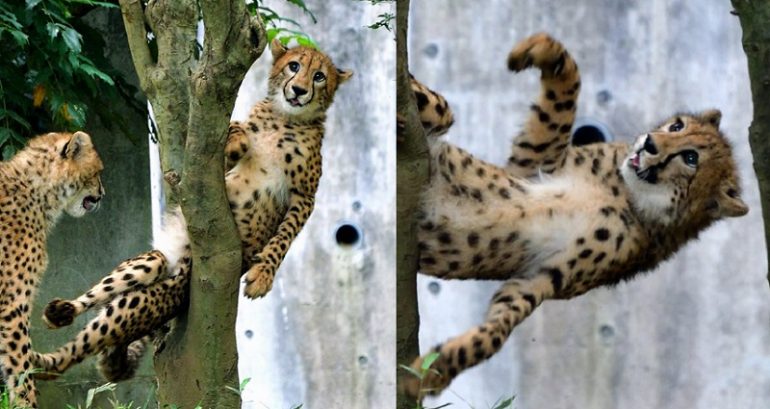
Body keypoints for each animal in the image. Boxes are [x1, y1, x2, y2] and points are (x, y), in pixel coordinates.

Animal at [29, 39, 352, 382]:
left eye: (319, 76)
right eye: (293, 66)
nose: (300, 90)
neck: (284, 117)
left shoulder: (304, 197)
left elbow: (284, 238)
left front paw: (262, 276)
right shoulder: (210, 179)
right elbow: (226, 148)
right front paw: (236, 136)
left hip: (166, 289)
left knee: (90, 344)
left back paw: (40, 360)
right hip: (149, 262)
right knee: (99, 305)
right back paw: (56, 318)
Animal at [401, 33, 749, 399]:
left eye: (692, 157)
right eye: (677, 125)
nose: (649, 143)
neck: (629, 196)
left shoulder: (542, 277)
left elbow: (497, 331)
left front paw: (434, 370)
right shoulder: (528, 166)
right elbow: (563, 97)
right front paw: (538, 49)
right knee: (442, 108)